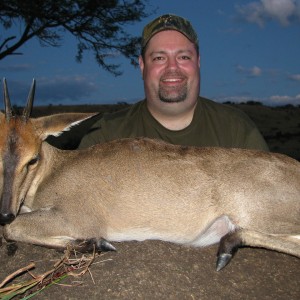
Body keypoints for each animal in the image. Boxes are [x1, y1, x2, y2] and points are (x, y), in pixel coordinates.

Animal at [0, 80, 298, 272]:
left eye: (33, 158)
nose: (5, 212)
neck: (56, 169)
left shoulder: (80, 217)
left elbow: (13, 229)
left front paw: (94, 243)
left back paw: (227, 248)